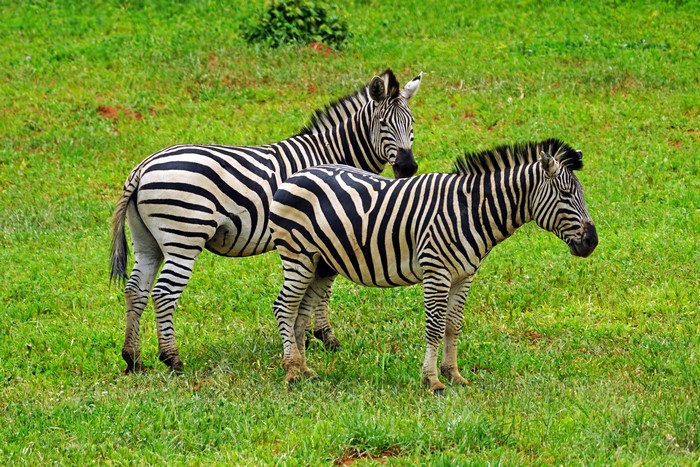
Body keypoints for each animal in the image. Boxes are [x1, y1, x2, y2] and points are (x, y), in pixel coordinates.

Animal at [110, 69, 423, 373]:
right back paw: (172, 359)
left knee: (135, 290)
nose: (408, 168)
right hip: (183, 237)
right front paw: (325, 337)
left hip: (147, 241)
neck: (332, 154)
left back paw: (133, 359)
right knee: (163, 293)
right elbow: (323, 292)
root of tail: (143, 167)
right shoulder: (327, 232)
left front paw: (308, 336)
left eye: (412, 123)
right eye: (383, 123)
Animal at [269, 138, 598, 392]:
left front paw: (453, 374)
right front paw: (432, 380)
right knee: (284, 306)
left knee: (301, 311)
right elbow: (435, 326)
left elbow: (453, 326)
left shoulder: (464, 275)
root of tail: (295, 175)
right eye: (566, 194)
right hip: (298, 254)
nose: (592, 242)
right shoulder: (436, 271)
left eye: (581, 194)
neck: (471, 210)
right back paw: (291, 370)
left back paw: (304, 368)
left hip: (320, 262)